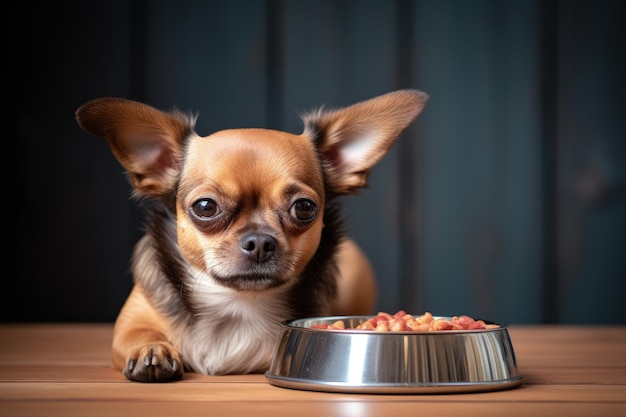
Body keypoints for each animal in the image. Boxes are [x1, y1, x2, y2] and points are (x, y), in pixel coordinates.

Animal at [73, 89, 424, 382]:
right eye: (205, 207)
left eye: (304, 208)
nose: (259, 242)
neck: (238, 303)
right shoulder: (129, 325)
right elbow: (139, 333)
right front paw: (152, 349)